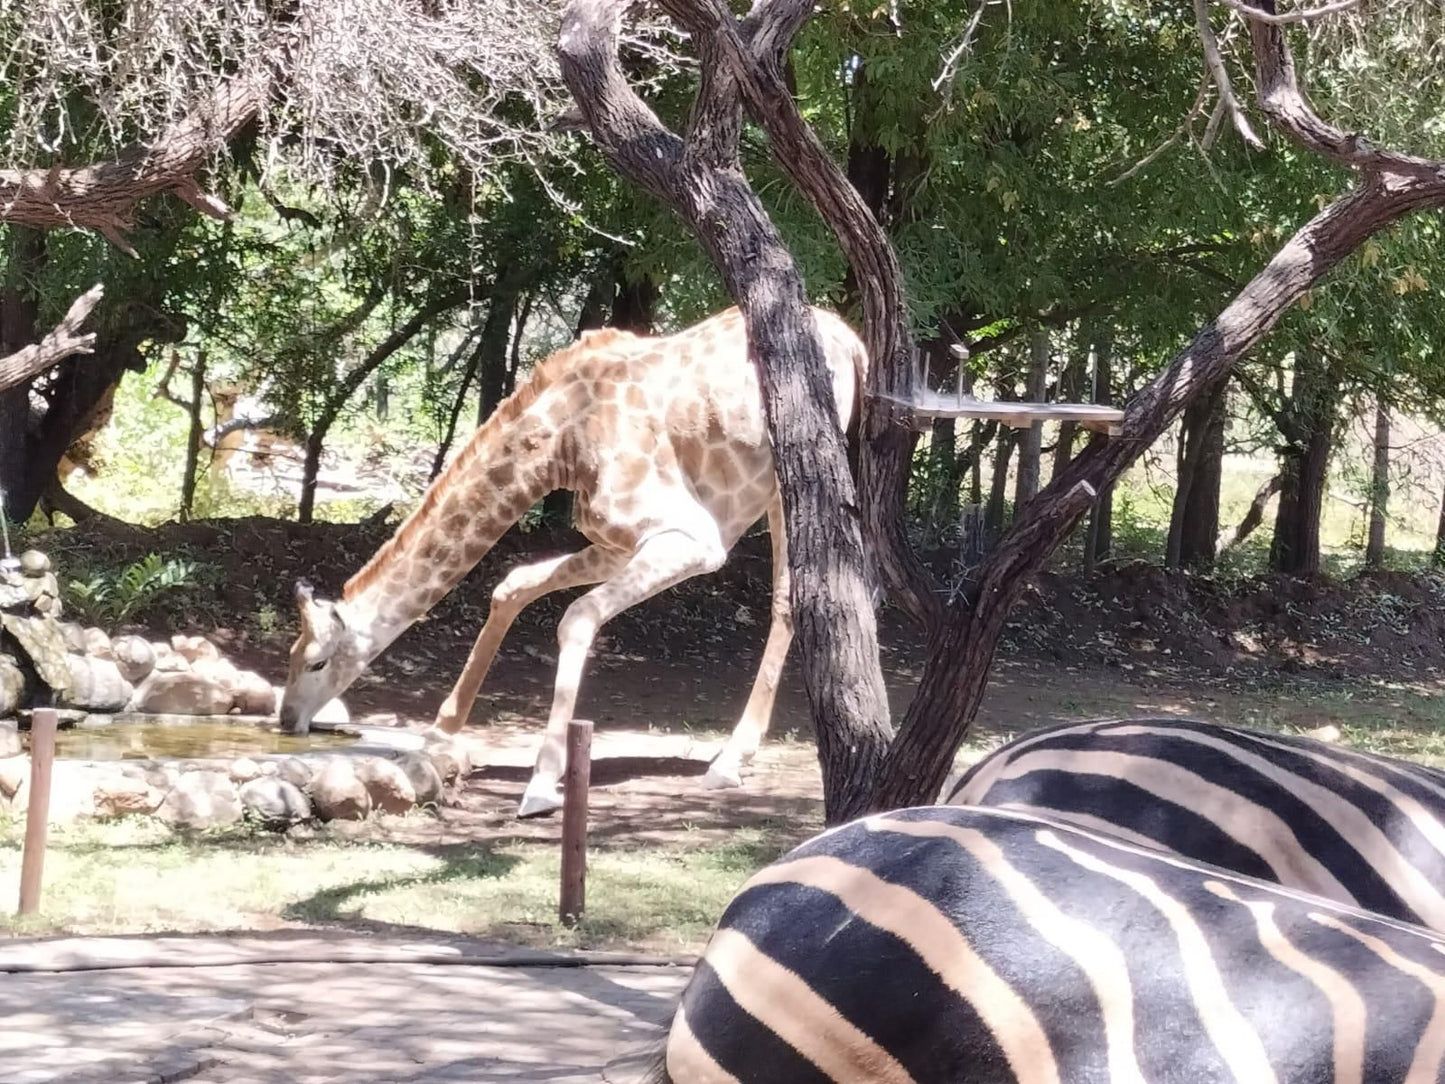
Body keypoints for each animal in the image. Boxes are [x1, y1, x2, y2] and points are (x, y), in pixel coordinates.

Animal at [281, 306, 867, 815]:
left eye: (317, 661)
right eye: (289, 655)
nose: (286, 720)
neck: (561, 443)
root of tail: (853, 340)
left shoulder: (692, 539)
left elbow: (577, 618)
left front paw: (542, 784)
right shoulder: (614, 544)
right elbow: (512, 586)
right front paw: (443, 727)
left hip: (788, 477)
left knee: (789, 596)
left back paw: (727, 761)